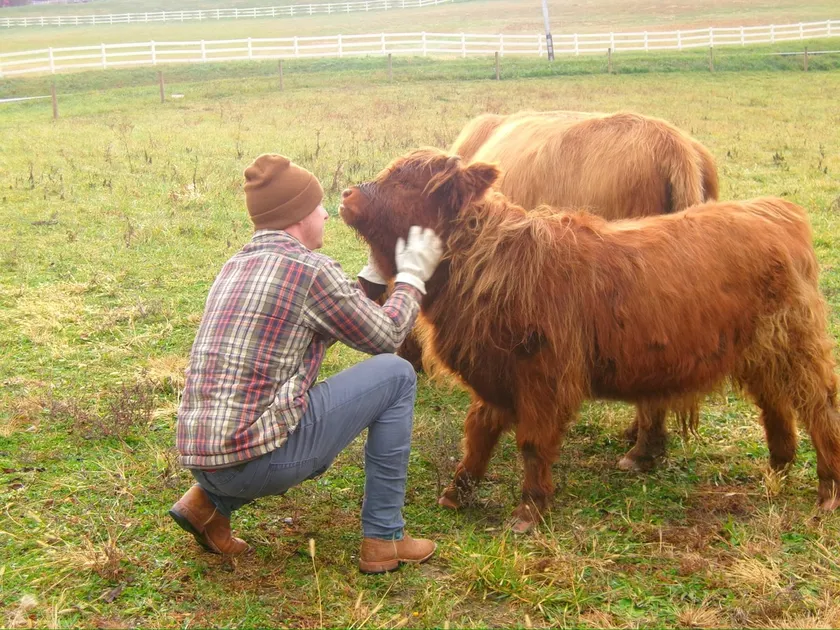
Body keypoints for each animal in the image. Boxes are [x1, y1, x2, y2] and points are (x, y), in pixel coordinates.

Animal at [340, 147, 840, 533]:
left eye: (406, 181)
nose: (345, 194)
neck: (485, 263)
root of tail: (774, 210)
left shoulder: (543, 376)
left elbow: (532, 443)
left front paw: (529, 510)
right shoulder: (496, 374)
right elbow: (478, 434)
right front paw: (456, 492)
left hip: (798, 345)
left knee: (819, 406)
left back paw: (827, 490)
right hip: (759, 351)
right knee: (774, 403)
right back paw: (777, 467)